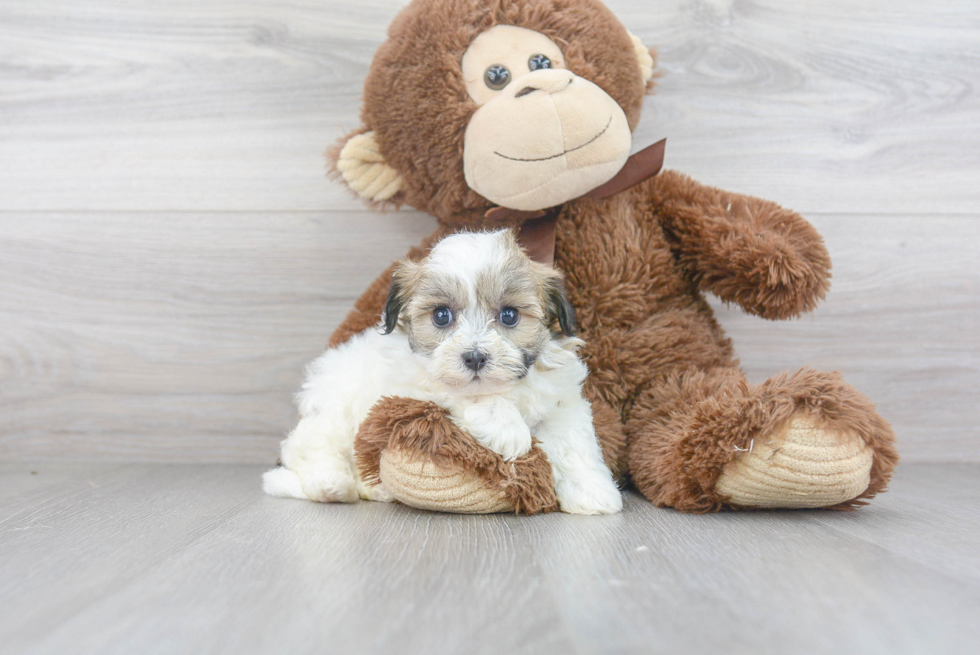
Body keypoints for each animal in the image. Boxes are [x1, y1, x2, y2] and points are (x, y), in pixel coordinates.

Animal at [262, 232, 620, 516]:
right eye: (441, 316)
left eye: (509, 315)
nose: (474, 357)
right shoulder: (410, 382)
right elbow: (459, 392)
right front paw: (507, 428)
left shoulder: (562, 401)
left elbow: (574, 445)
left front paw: (592, 491)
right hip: (333, 408)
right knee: (313, 449)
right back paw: (332, 485)